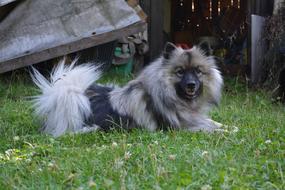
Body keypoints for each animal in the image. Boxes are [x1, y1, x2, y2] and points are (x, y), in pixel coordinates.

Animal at [30, 42, 222, 137]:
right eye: (180, 72)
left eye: (198, 71)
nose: (191, 84)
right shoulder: (180, 127)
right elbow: (210, 127)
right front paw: (224, 131)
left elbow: (214, 122)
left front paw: (223, 125)